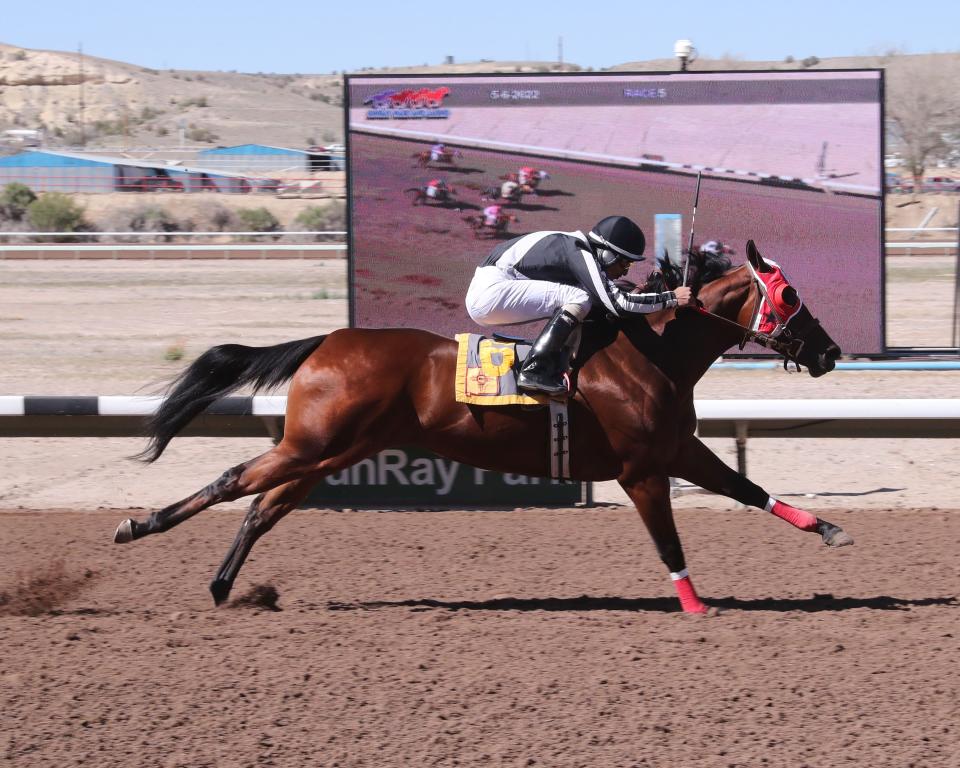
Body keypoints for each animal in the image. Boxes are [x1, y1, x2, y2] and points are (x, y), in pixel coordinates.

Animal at [116, 240, 852, 612]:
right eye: (790, 295)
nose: (829, 352)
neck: (651, 353)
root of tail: (329, 339)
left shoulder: (679, 450)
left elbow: (748, 490)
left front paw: (829, 529)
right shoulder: (643, 470)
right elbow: (669, 542)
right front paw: (697, 607)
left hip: (329, 454)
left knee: (262, 507)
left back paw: (224, 586)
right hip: (313, 445)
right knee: (234, 480)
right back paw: (139, 527)